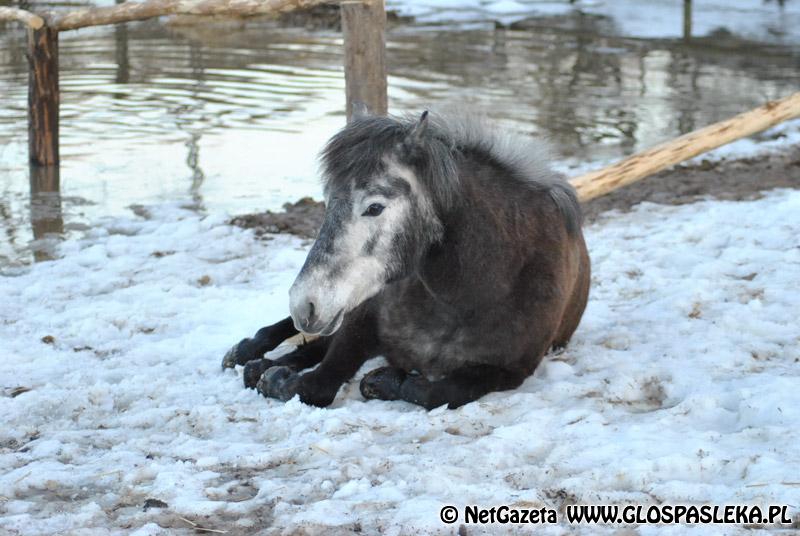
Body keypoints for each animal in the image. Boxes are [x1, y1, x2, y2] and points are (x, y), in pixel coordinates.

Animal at [222, 110, 592, 410]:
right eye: (328, 203)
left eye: (374, 207)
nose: (306, 304)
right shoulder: (360, 325)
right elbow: (318, 380)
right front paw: (274, 375)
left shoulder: (509, 370)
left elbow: (439, 392)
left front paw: (383, 381)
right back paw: (248, 353)